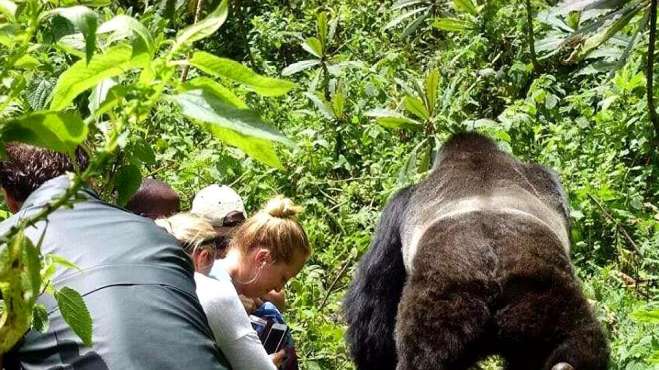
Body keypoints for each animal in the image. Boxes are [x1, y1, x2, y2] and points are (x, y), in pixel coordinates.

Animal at [346, 133, 608, 370]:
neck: (474, 155)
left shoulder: (398, 203)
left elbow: (374, 298)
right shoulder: (550, 180)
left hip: (443, 312)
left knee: (423, 359)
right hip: (543, 303)